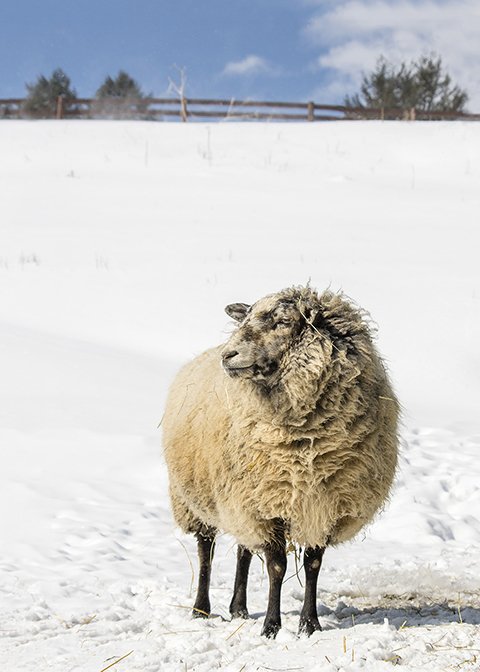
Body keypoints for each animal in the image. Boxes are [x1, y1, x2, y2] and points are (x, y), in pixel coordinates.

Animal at [163, 286, 400, 636]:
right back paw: (201, 609)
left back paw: (239, 608)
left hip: (242, 503)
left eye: (283, 322)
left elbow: (313, 565)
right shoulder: (268, 507)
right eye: (245, 319)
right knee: (206, 550)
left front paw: (309, 625)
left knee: (244, 550)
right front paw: (271, 627)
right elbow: (277, 567)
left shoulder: (321, 505)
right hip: (197, 499)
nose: (228, 355)